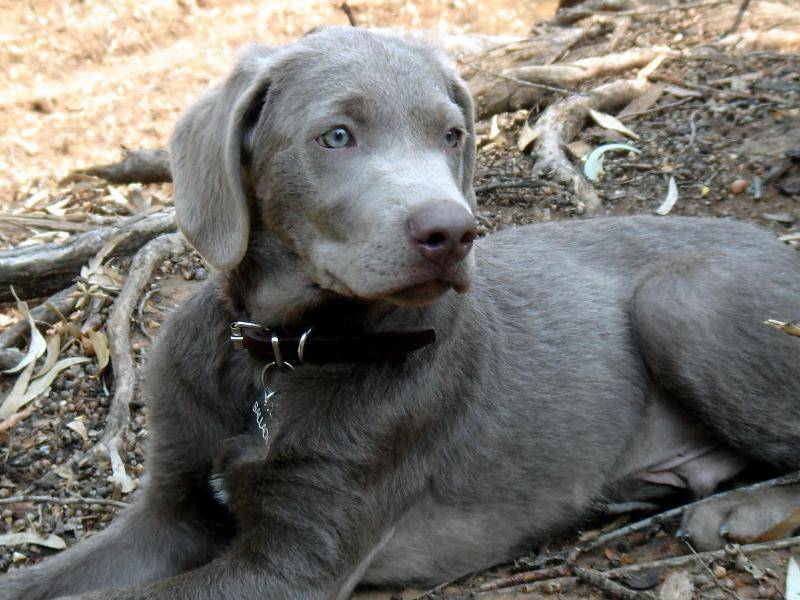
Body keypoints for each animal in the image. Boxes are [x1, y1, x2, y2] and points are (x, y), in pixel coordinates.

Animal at [1, 25, 800, 596]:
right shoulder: (168, 510)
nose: (452, 232)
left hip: (681, 300)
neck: (282, 357)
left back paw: (734, 513)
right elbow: (44, 582)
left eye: (452, 134)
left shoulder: (294, 560)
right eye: (336, 136)